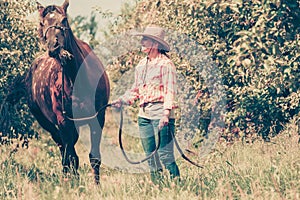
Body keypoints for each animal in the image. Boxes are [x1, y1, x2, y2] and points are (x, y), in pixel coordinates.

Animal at [25, 0, 109, 184]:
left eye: (64, 19)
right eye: (41, 23)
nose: (54, 46)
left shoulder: (98, 118)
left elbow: (94, 157)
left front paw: (97, 185)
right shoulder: (63, 121)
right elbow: (71, 156)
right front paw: (74, 184)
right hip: (48, 123)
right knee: (63, 148)